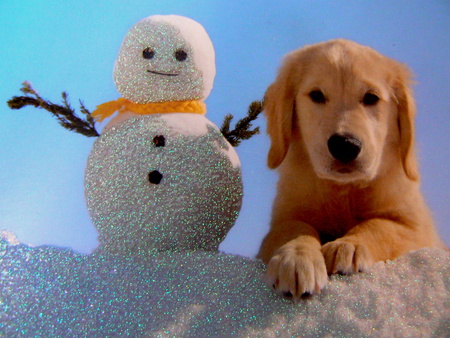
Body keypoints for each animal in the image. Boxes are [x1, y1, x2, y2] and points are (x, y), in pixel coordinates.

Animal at [258, 40, 444, 298]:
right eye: (316, 95)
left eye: (371, 98)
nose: (345, 145)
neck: (343, 190)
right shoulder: (283, 218)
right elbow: (292, 228)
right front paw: (296, 258)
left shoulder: (418, 230)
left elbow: (380, 225)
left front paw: (349, 245)